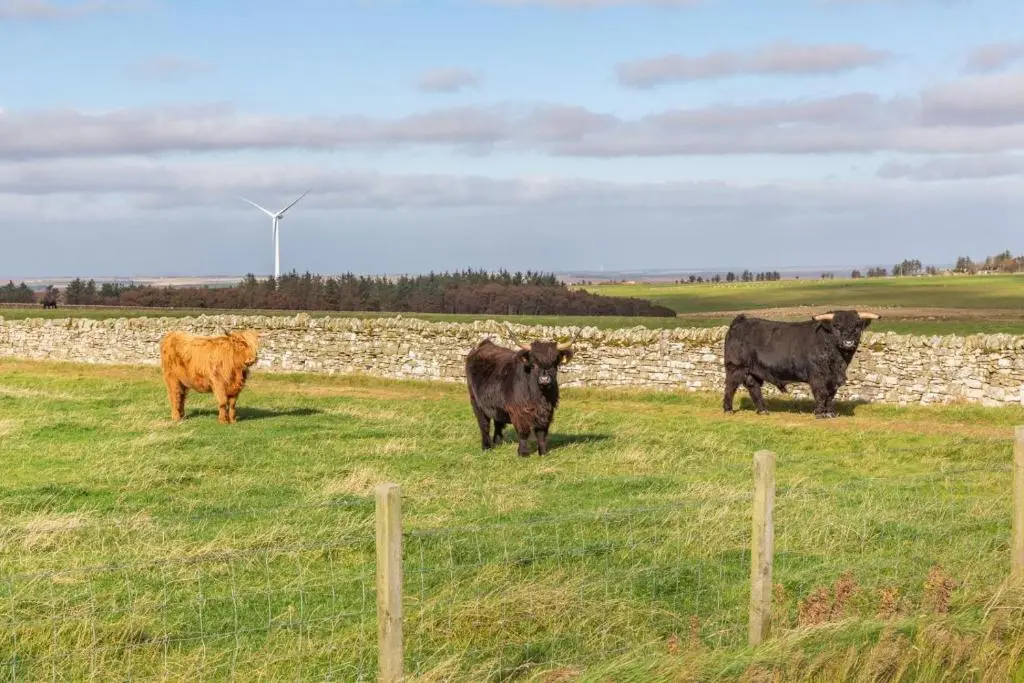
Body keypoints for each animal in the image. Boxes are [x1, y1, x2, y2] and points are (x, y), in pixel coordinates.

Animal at [465, 324, 579, 456]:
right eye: (534, 363)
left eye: (554, 363)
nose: (544, 379)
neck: (540, 397)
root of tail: (484, 344)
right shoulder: (518, 411)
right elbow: (523, 432)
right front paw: (523, 453)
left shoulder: (548, 412)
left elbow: (542, 433)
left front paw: (543, 452)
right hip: (475, 401)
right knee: (484, 424)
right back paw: (486, 446)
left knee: (498, 422)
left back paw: (498, 442)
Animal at [722, 310, 880, 418]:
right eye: (836, 326)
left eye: (857, 326)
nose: (848, 342)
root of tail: (741, 321)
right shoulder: (817, 375)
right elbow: (821, 393)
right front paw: (820, 413)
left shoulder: (833, 379)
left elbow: (830, 395)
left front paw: (831, 413)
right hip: (735, 367)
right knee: (730, 387)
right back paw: (728, 409)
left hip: (753, 371)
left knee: (753, 387)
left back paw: (763, 410)